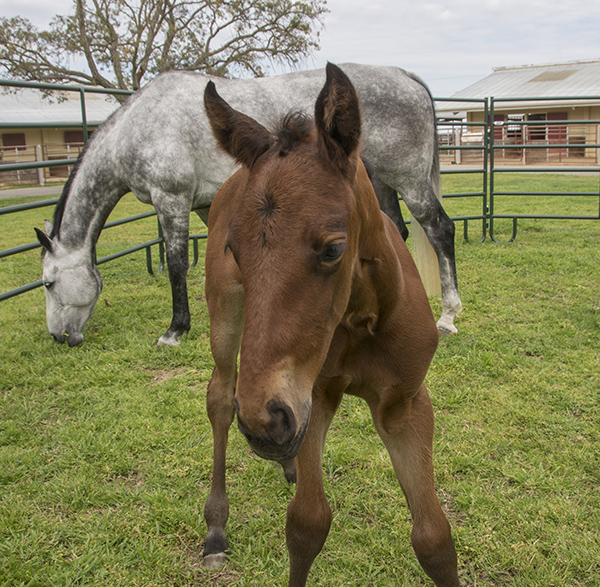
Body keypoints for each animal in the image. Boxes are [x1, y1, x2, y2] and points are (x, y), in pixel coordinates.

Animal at [35, 63, 462, 350]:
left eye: (48, 283)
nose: (58, 336)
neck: (140, 125)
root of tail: (406, 77)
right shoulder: (207, 203)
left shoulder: (170, 199)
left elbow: (175, 265)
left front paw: (175, 330)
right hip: (382, 183)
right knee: (396, 233)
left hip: (408, 179)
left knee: (439, 229)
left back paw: (447, 315)